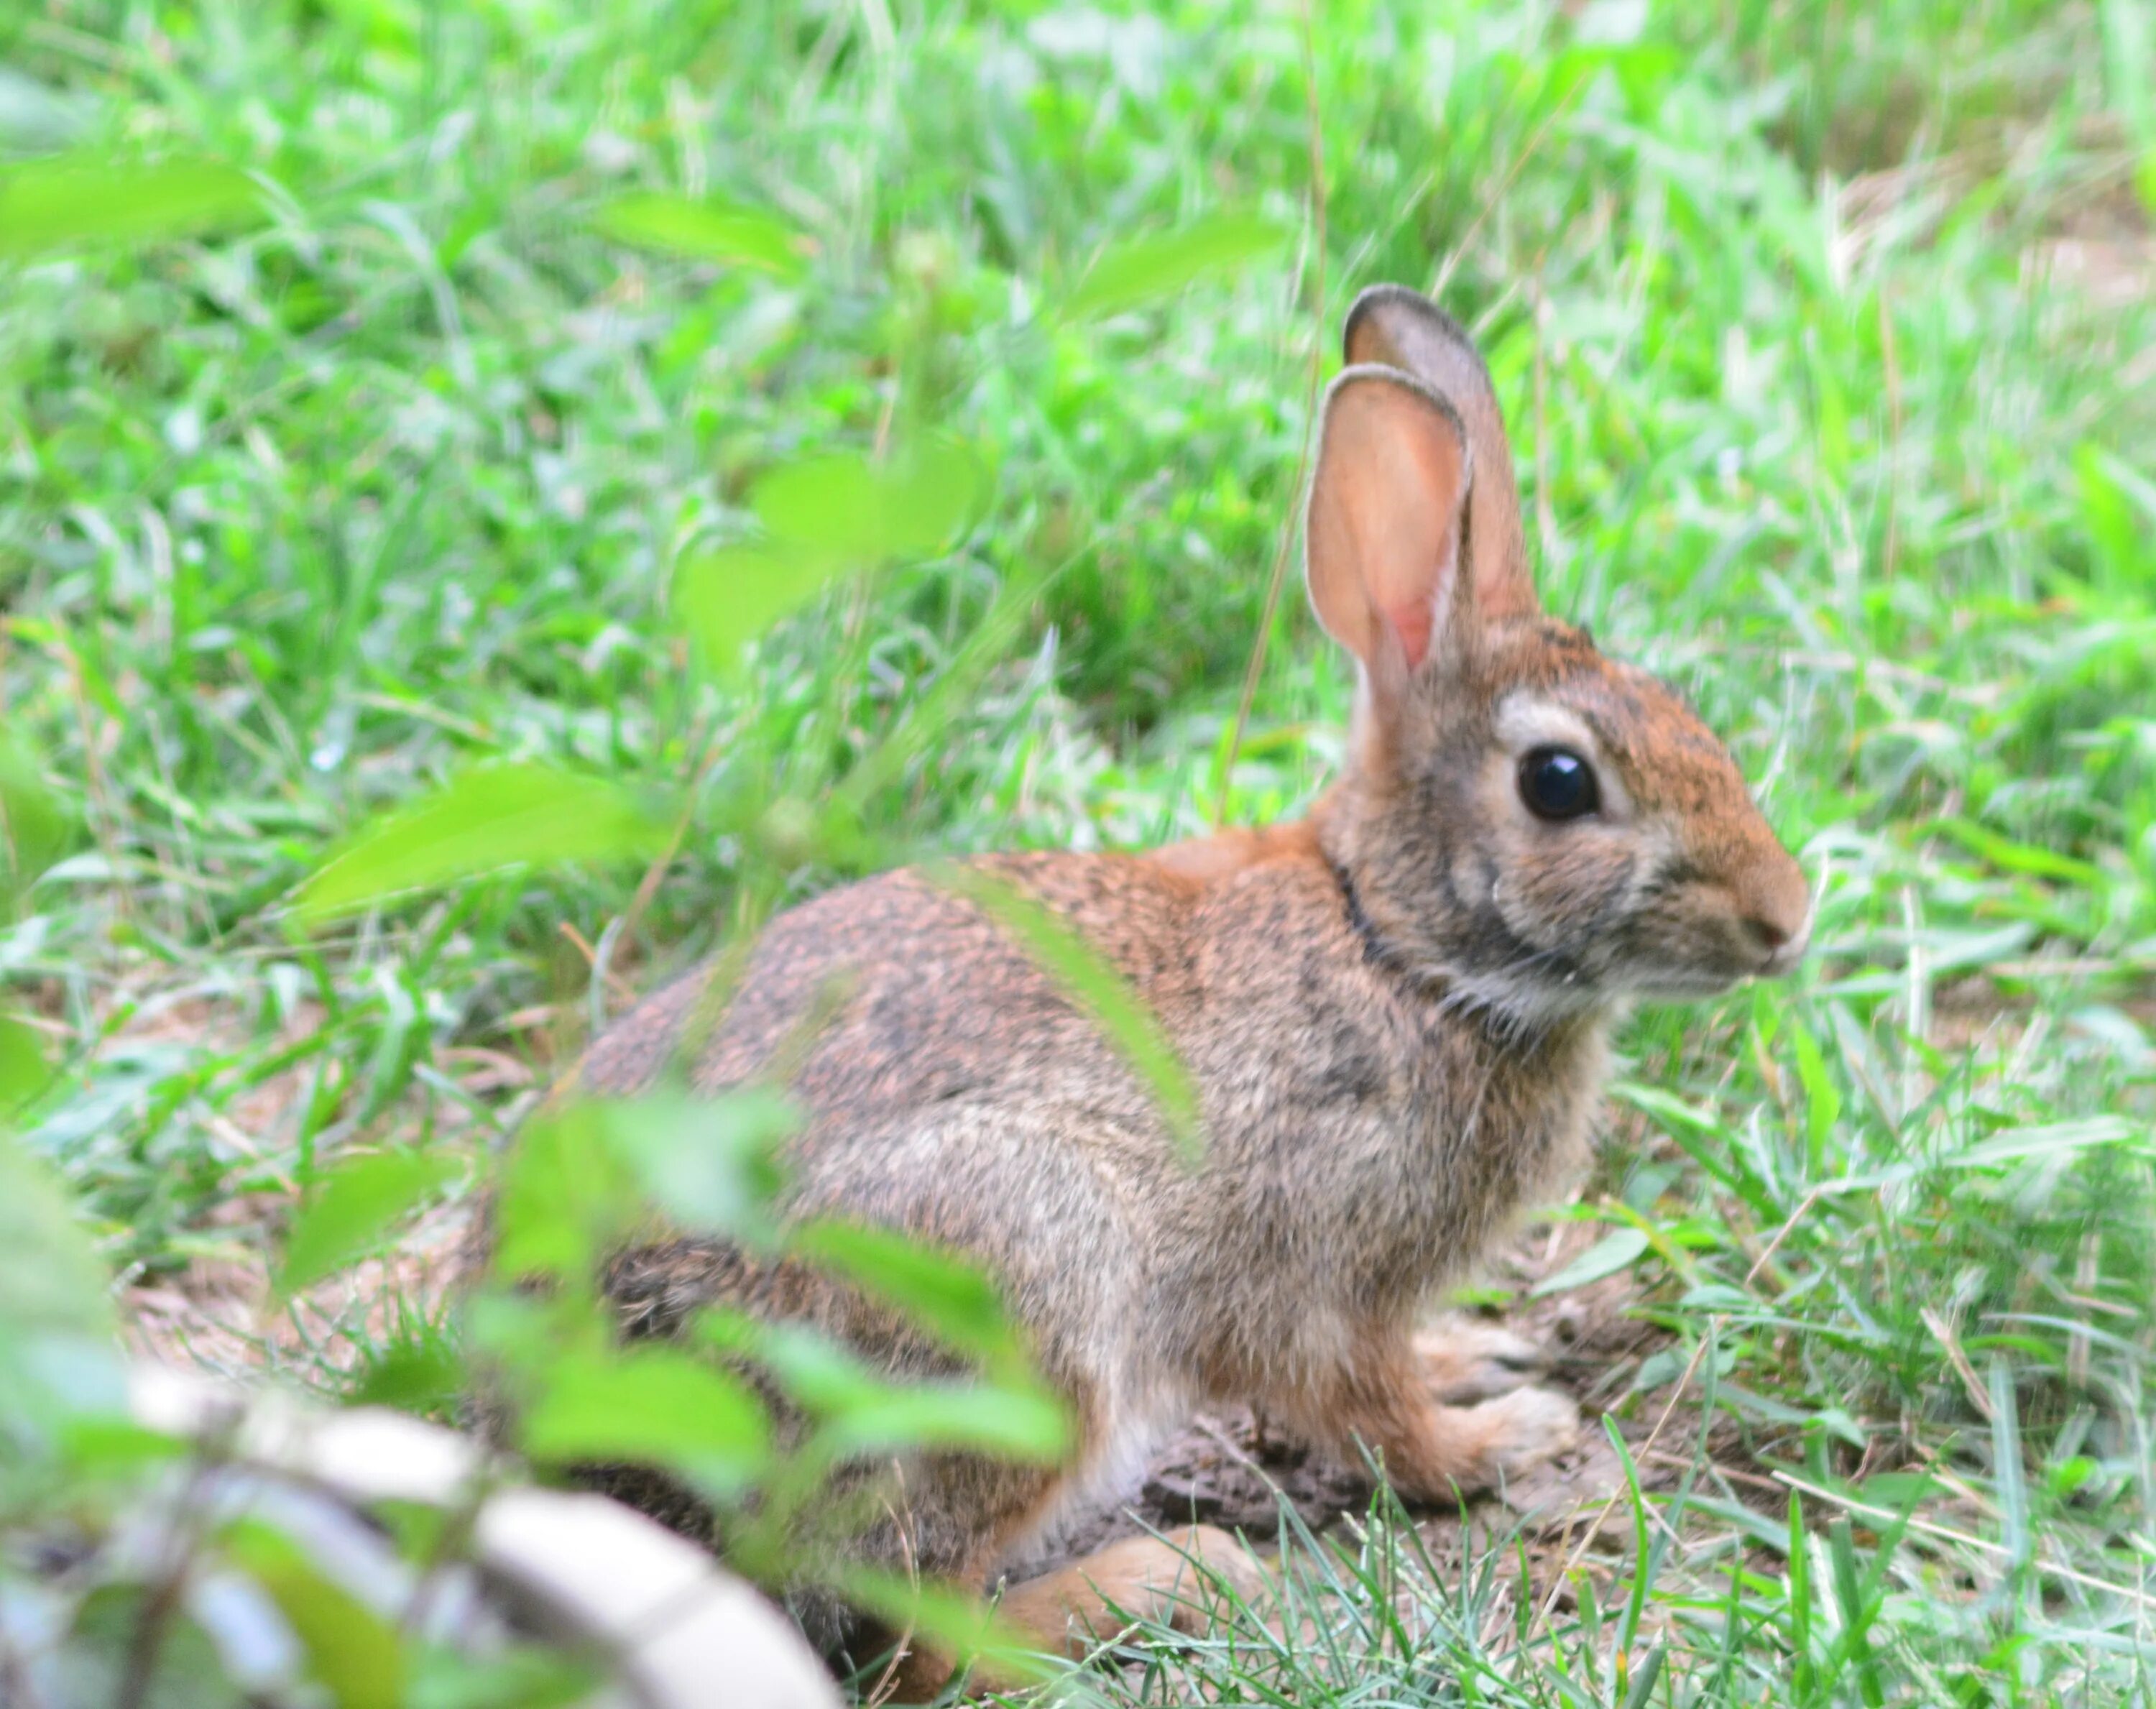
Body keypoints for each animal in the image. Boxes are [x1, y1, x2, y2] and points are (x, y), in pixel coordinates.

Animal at [485, 282, 1802, 1690]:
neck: (1396, 943)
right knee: (924, 1632)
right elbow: (1375, 1416)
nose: (1786, 918)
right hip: (1019, 1292)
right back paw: (1166, 1577)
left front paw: (1478, 1358)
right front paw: (1504, 1438)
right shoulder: (1323, 1274)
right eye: (1560, 783)